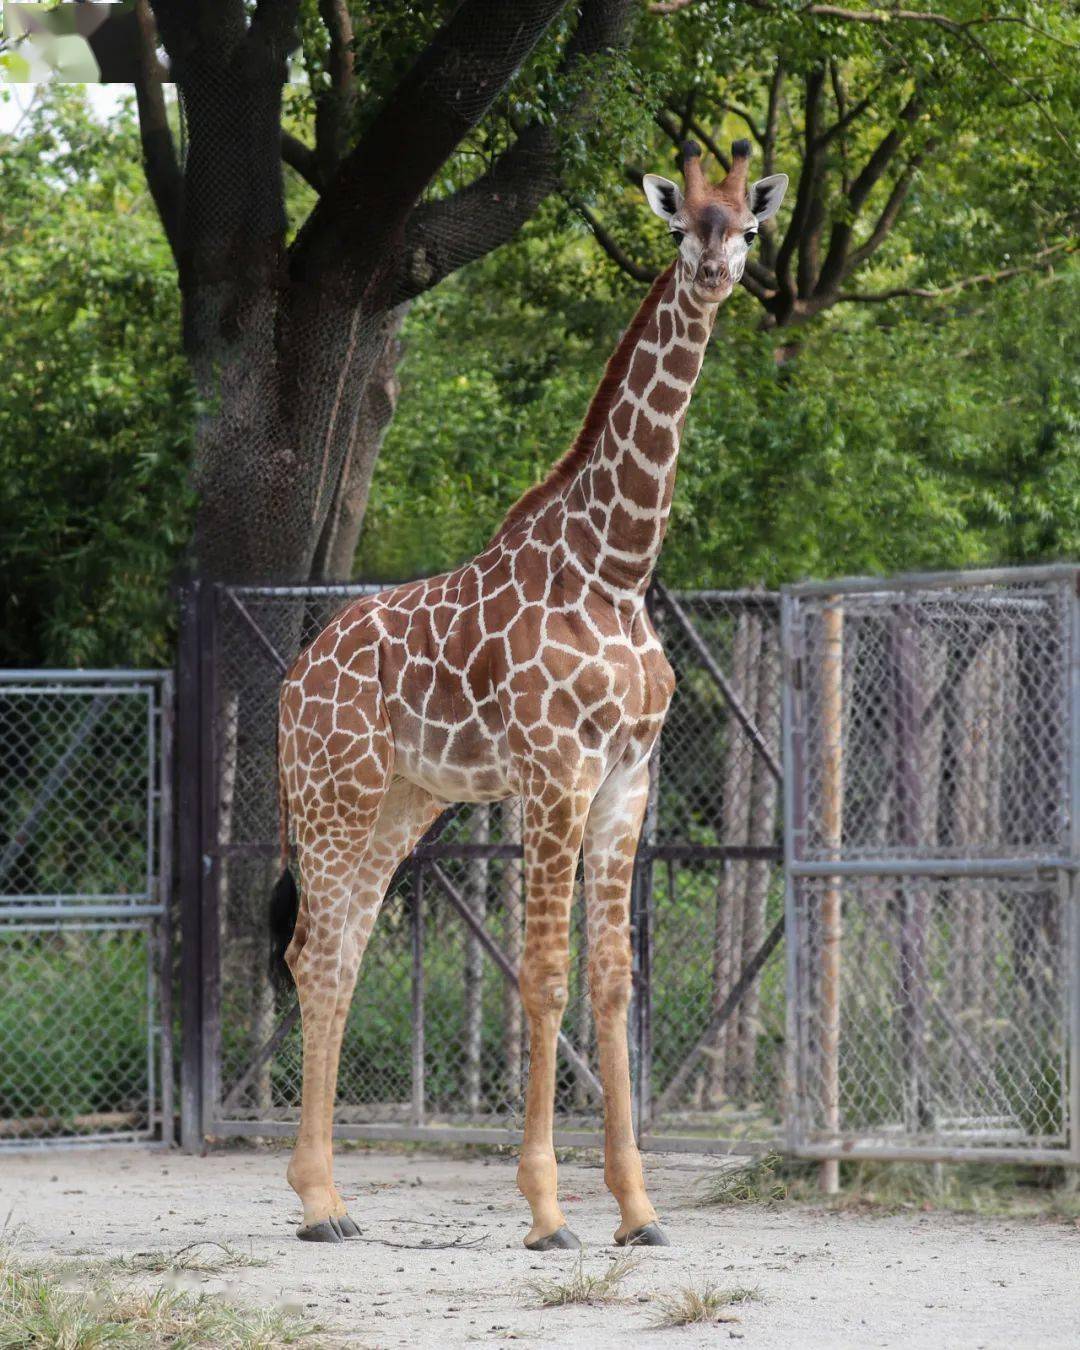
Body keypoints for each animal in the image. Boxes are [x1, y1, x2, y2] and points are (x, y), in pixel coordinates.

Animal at [274, 142, 788, 1247]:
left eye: (747, 225)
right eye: (682, 223)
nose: (715, 273)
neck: (618, 567)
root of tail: (297, 675)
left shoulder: (626, 783)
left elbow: (612, 981)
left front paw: (638, 1210)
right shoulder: (556, 774)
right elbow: (545, 976)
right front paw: (549, 1210)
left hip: (402, 804)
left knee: (339, 952)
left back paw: (330, 1199)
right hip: (335, 796)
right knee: (315, 953)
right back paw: (319, 1202)